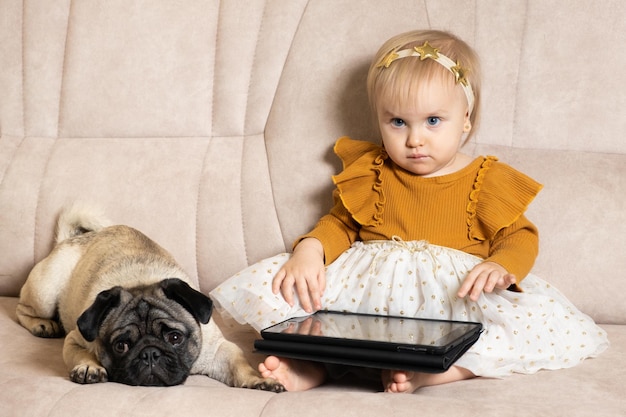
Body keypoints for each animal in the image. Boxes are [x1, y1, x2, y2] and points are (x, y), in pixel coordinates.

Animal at [15, 205, 282, 390]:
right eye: (121, 346)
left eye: (175, 338)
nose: (149, 354)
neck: (140, 280)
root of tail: (68, 239)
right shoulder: (75, 339)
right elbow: (79, 352)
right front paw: (89, 365)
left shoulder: (219, 350)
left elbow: (239, 364)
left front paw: (259, 380)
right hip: (46, 292)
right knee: (21, 310)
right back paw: (42, 325)